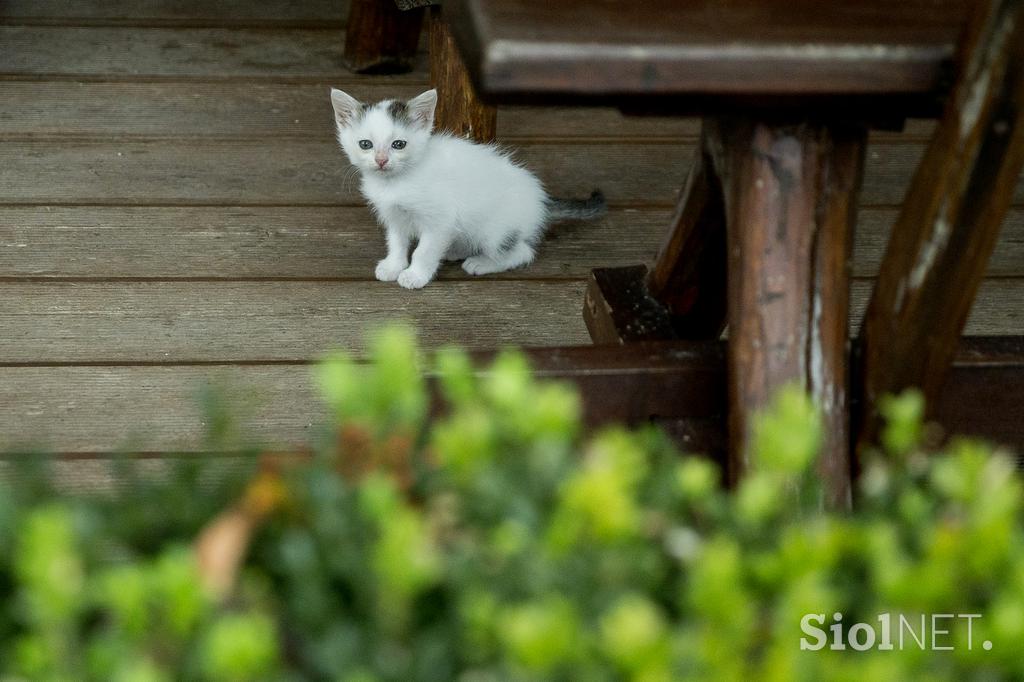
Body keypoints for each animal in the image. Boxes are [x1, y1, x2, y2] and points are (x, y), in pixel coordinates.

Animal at [327, 87, 602, 286]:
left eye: (398, 144)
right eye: (365, 144)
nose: (381, 160)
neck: (395, 183)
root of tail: (541, 199)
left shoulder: (440, 218)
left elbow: (424, 249)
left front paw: (415, 275)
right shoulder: (394, 215)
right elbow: (397, 241)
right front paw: (393, 265)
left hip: (496, 230)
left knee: (522, 252)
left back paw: (482, 262)